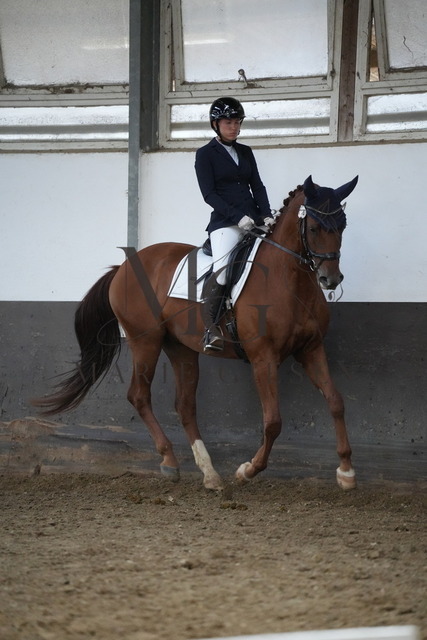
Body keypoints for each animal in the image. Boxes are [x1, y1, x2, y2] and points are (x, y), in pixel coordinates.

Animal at [33, 175, 358, 491]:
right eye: (314, 228)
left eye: (342, 226)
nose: (331, 279)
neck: (289, 280)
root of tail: (123, 267)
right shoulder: (263, 358)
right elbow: (273, 422)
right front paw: (247, 471)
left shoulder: (311, 349)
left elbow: (336, 402)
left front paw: (346, 471)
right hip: (145, 341)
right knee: (139, 396)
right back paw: (170, 462)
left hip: (181, 348)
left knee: (185, 406)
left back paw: (209, 473)